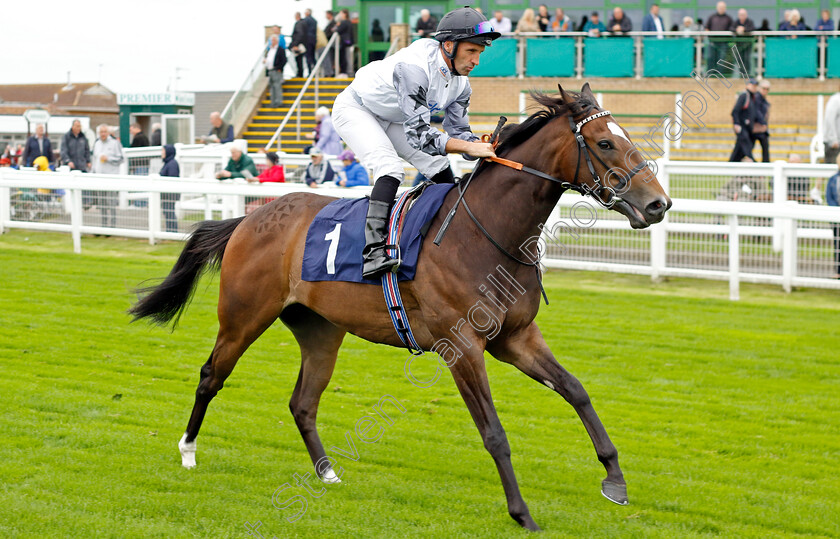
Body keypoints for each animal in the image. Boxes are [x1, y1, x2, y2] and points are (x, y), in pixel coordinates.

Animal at [130, 84, 668, 532]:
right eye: (604, 143)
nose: (658, 204)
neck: (487, 232)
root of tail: (247, 217)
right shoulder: (461, 345)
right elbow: (494, 432)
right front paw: (522, 514)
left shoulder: (515, 338)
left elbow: (577, 391)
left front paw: (615, 480)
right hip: (243, 317)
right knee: (211, 375)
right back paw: (188, 450)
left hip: (321, 331)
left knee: (302, 402)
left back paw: (327, 473)